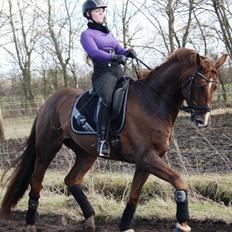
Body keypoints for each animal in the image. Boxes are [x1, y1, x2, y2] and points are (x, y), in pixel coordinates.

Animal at [0, 47, 227, 232]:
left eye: (215, 86)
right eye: (200, 85)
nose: (202, 121)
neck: (153, 102)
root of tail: (48, 102)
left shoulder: (146, 161)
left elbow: (134, 195)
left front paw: (125, 226)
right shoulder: (147, 158)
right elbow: (179, 180)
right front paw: (182, 222)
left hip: (86, 153)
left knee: (72, 180)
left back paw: (90, 219)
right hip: (47, 150)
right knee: (36, 182)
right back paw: (30, 223)